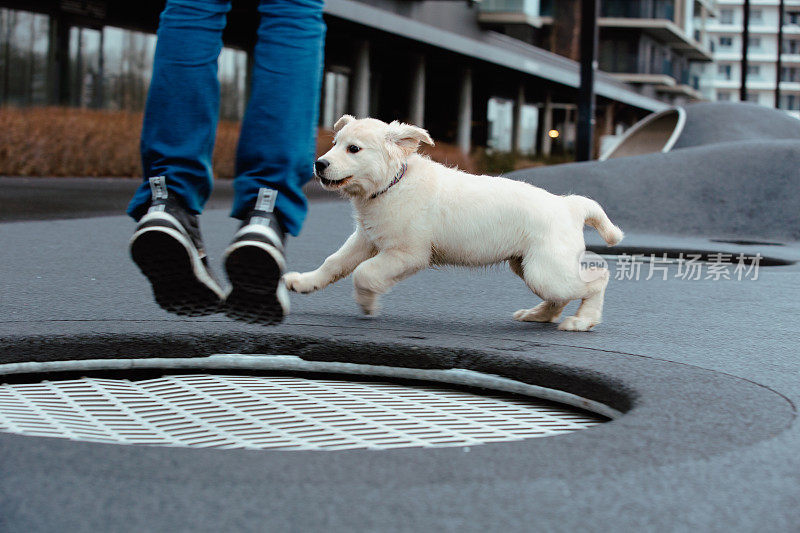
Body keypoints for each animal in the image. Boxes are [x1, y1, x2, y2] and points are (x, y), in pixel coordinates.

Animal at [282, 115, 624, 330]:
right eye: (334, 143)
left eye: (353, 149)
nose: (319, 164)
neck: (394, 184)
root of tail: (568, 205)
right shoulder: (365, 239)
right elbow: (334, 263)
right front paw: (305, 281)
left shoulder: (408, 254)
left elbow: (364, 273)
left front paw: (367, 304)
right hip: (529, 267)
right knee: (561, 297)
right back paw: (538, 315)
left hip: (546, 270)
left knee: (598, 279)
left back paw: (583, 320)